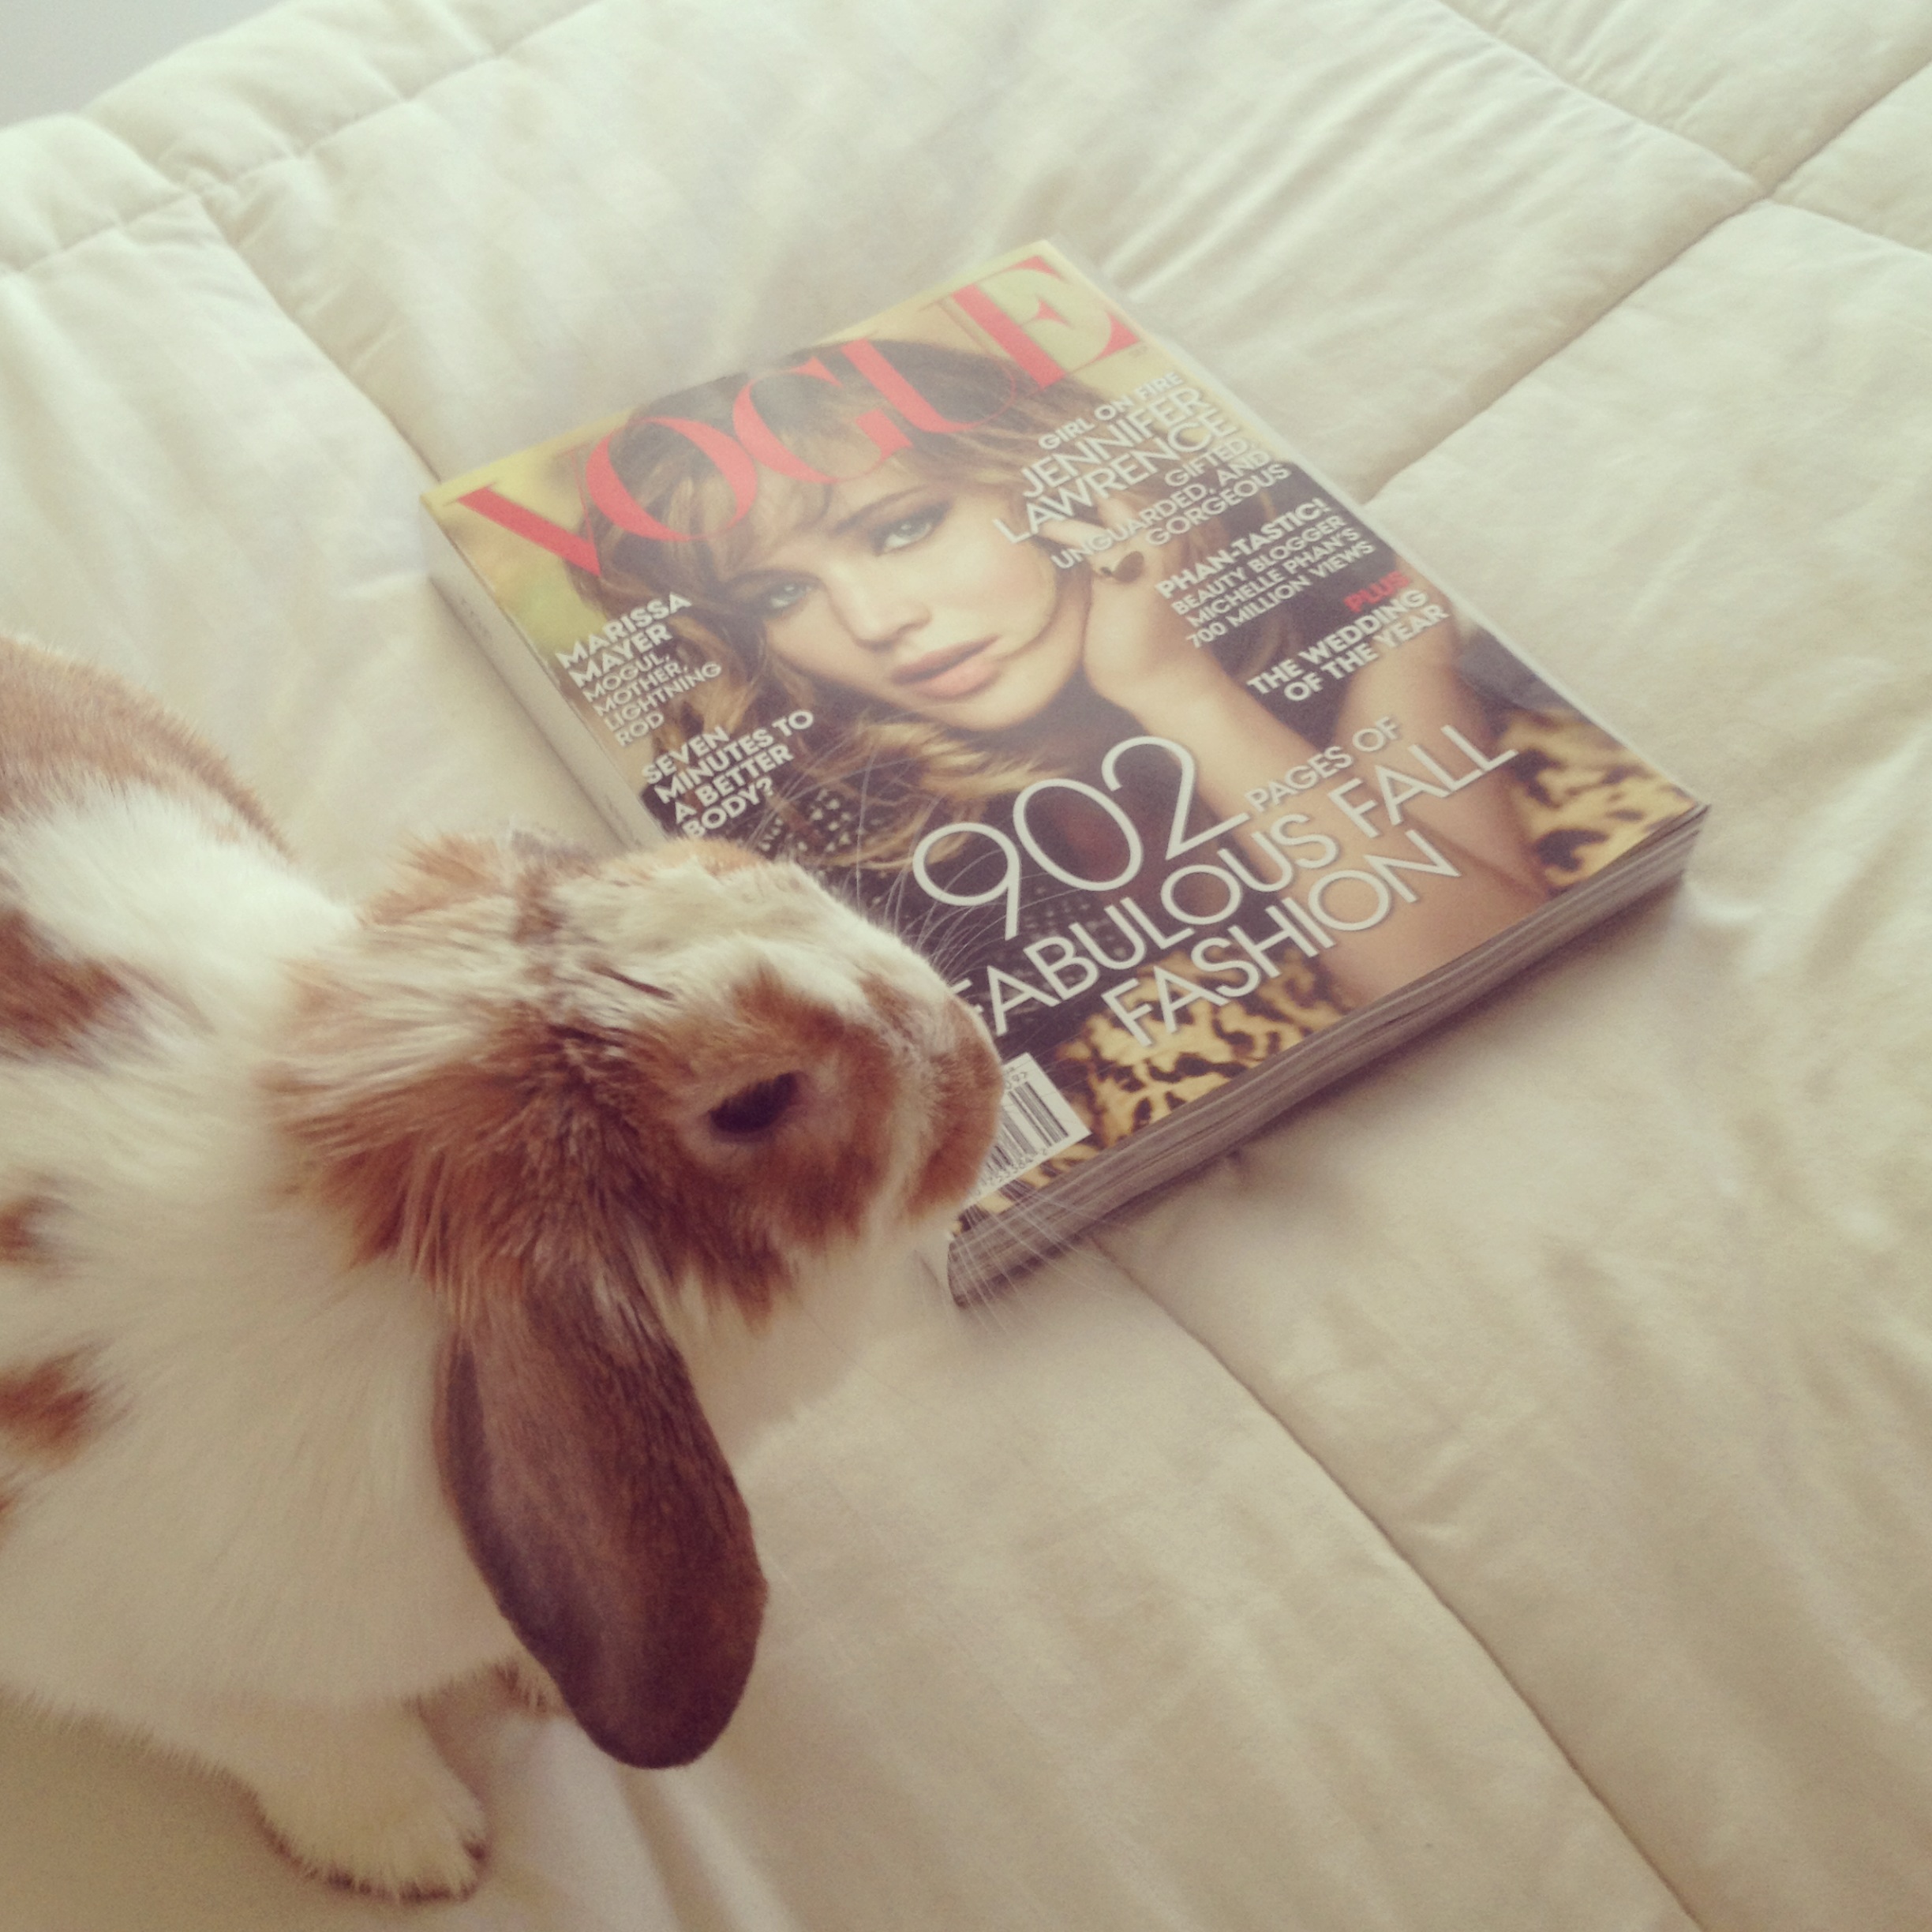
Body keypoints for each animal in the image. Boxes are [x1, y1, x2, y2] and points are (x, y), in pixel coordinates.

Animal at [0, 632, 1001, 1900]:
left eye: (741, 861)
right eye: (756, 1099)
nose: (978, 1052)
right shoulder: (130, 1656)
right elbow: (311, 1741)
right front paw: (417, 1851)